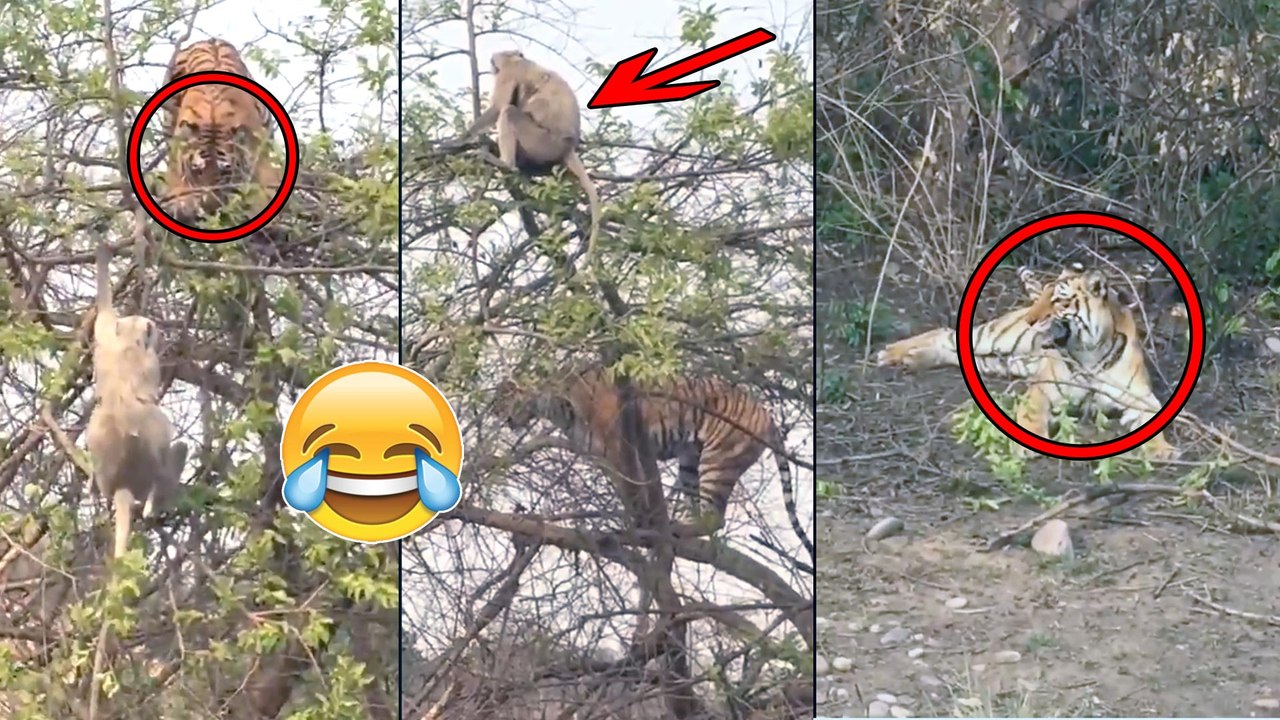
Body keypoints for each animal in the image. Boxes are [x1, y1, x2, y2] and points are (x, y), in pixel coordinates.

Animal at [457, 50, 602, 264]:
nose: (492, 63)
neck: (519, 59)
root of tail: (568, 146)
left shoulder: (509, 72)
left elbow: (499, 107)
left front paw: (459, 139)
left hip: (541, 142)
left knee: (509, 112)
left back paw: (506, 164)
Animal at [494, 367, 815, 560]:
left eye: (504, 395)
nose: (500, 415)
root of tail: (767, 414)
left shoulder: (620, 449)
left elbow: (633, 489)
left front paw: (637, 524)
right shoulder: (605, 457)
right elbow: (626, 489)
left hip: (718, 460)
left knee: (715, 518)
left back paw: (676, 527)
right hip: (691, 461)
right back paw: (674, 526)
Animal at [875, 265, 1177, 459]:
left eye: (1058, 301)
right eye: (1042, 296)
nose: (1031, 320)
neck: (1089, 351)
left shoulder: (1140, 397)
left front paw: (1161, 451)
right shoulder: (1044, 387)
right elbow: (1032, 414)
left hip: (1001, 362)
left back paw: (913, 359)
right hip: (995, 337)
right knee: (944, 333)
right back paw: (891, 353)